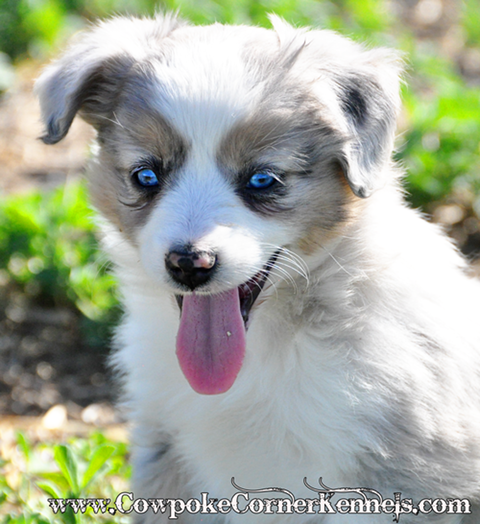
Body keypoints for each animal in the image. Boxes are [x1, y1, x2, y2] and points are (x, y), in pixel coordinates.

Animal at [36, 13, 480, 524]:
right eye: (145, 176)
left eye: (263, 179)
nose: (189, 264)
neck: (266, 346)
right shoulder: (168, 449)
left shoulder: (390, 475)